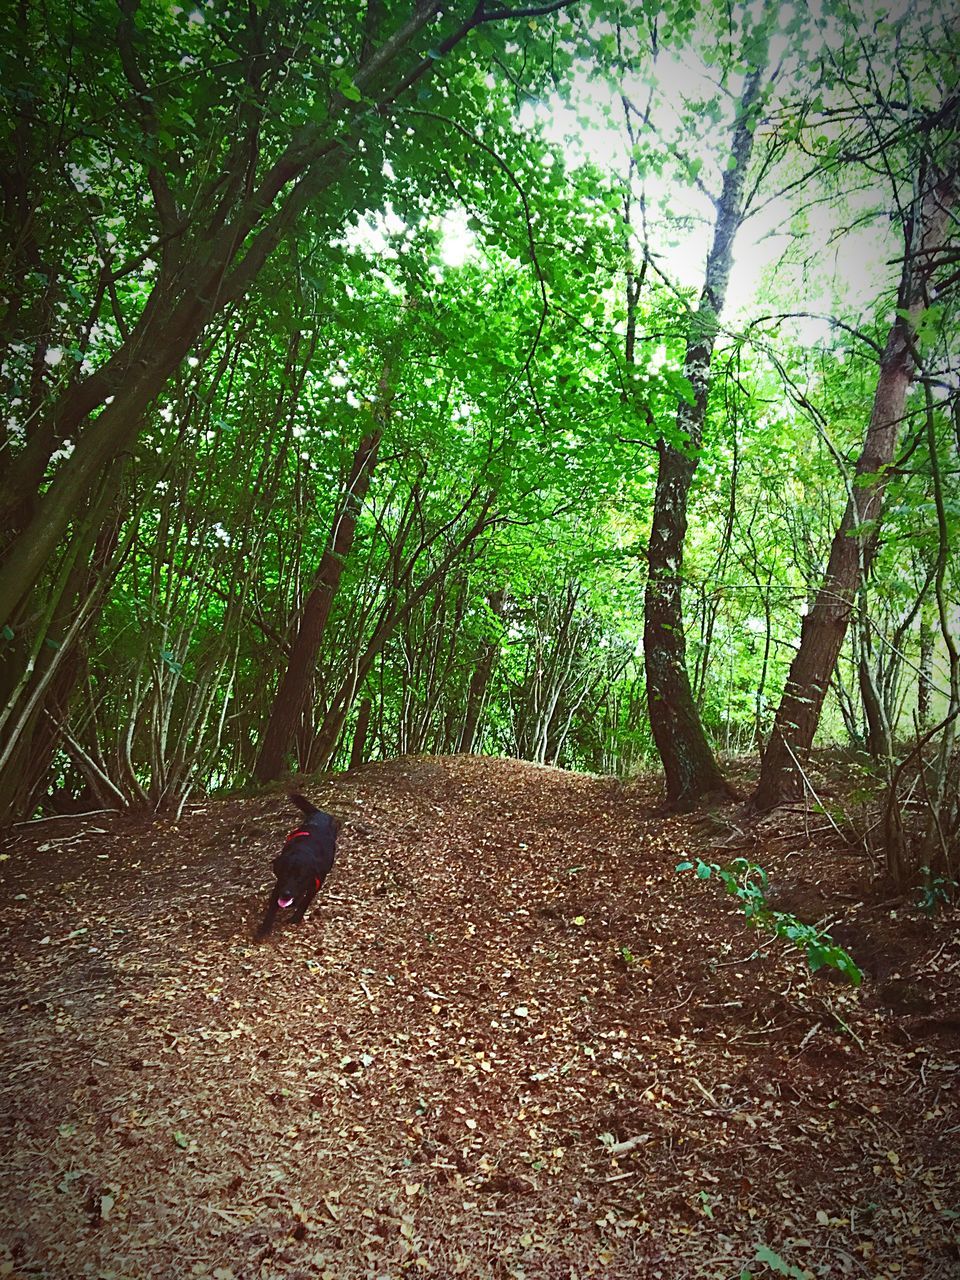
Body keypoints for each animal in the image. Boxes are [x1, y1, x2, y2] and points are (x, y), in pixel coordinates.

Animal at [257, 788, 340, 942]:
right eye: (284, 874)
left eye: (300, 878)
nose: (286, 894)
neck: (302, 851)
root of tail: (319, 813)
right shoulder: (279, 886)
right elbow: (272, 909)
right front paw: (264, 929)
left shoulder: (315, 883)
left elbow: (305, 901)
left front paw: (296, 917)